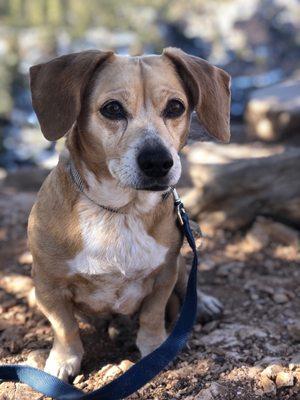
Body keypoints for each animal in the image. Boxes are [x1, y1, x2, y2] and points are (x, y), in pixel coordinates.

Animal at [27, 47, 230, 382]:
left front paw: (155, 348)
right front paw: (63, 360)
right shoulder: (48, 286)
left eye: (176, 107)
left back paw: (205, 303)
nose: (158, 161)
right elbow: (65, 327)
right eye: (112, 109)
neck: (121, 211)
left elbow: (152, 316)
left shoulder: (164, 274)